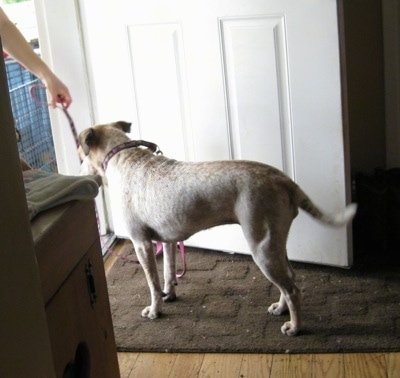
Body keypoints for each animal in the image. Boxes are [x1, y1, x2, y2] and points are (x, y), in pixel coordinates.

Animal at [78, 121, 356, 336]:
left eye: (81, 155)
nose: (79, 172)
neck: (124, 159)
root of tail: (284, 180)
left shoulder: (141, 244)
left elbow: (152, 284)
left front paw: (154, 311)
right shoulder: (167, 241)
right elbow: (167, 273)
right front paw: (170, 294)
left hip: (261, 247)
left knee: (293, 290)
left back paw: (294, 327)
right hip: (274, 242)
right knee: (289, 280)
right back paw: (280, 309)